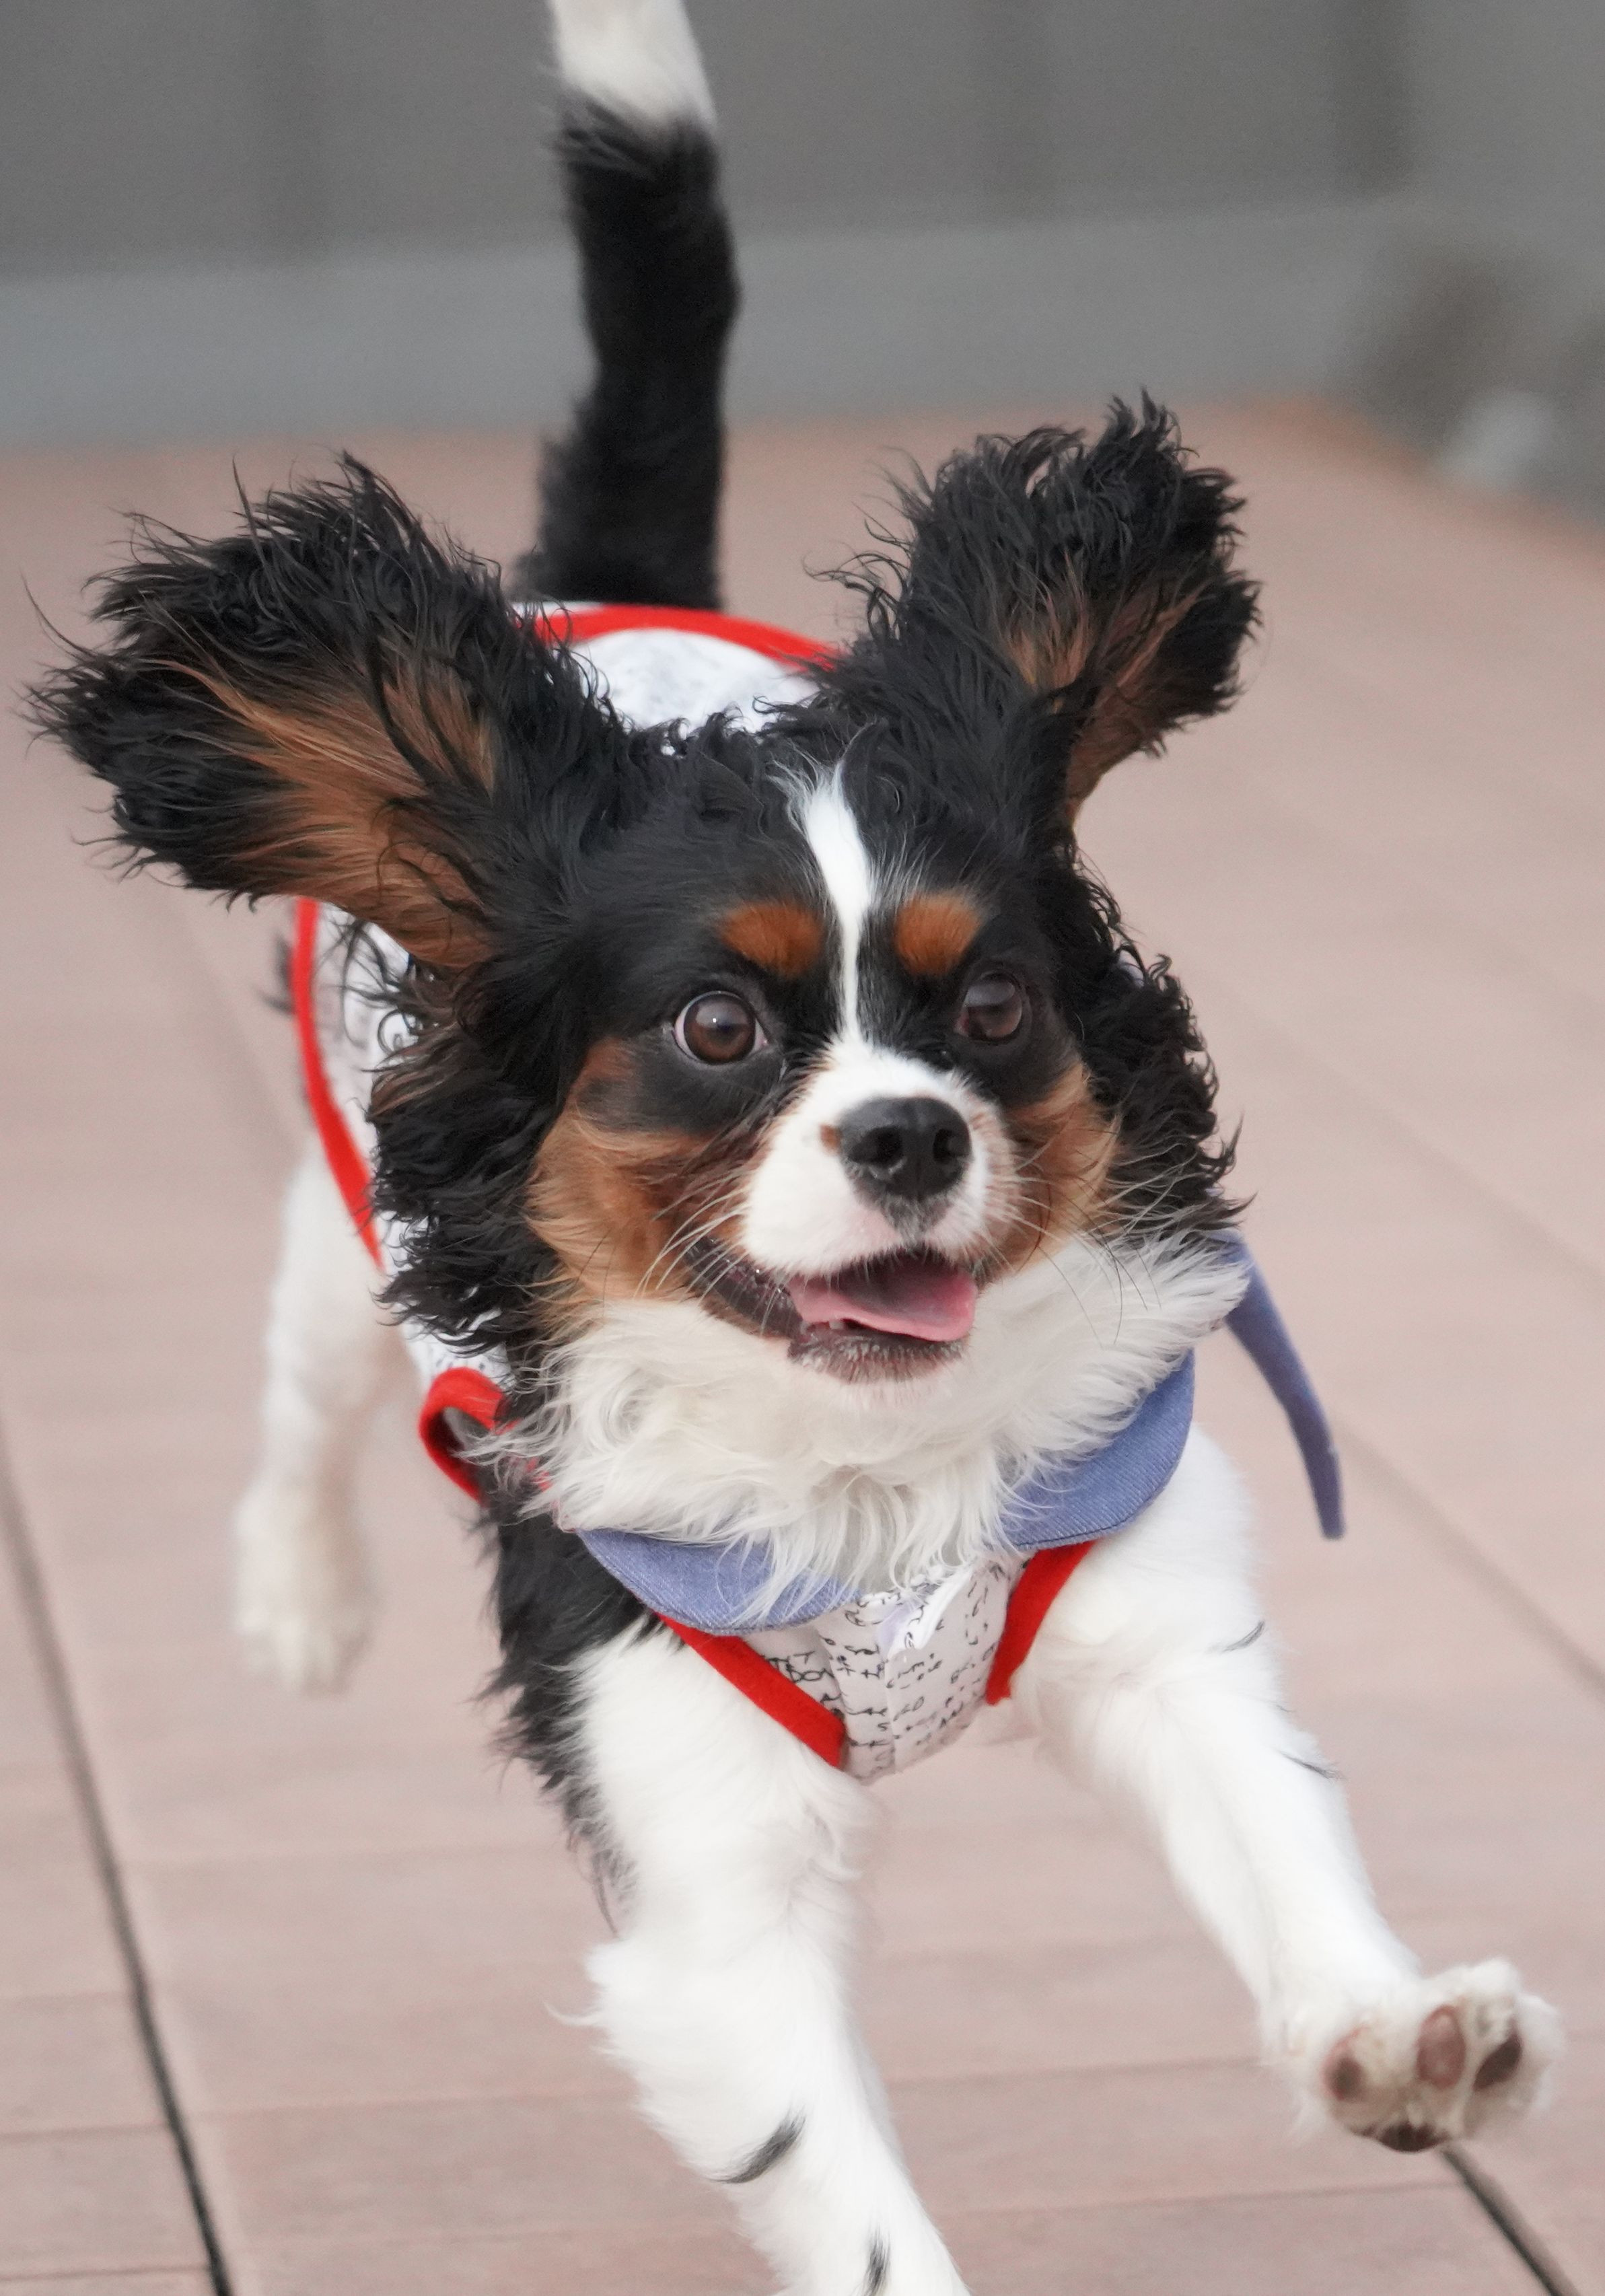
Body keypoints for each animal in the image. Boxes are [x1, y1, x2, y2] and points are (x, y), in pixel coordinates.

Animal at [34, 3, 1559, 2289]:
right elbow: (844, 2200)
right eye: (720, 1032)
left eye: (990, 1010)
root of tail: (607, 600)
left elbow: (1276, 1833)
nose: (915, 1134)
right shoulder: (699, 1875)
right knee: (301, 1407)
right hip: (336, 1244)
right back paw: (297, 1603)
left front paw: (1392, 2034)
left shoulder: (1146, 1616)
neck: (870, 1471)